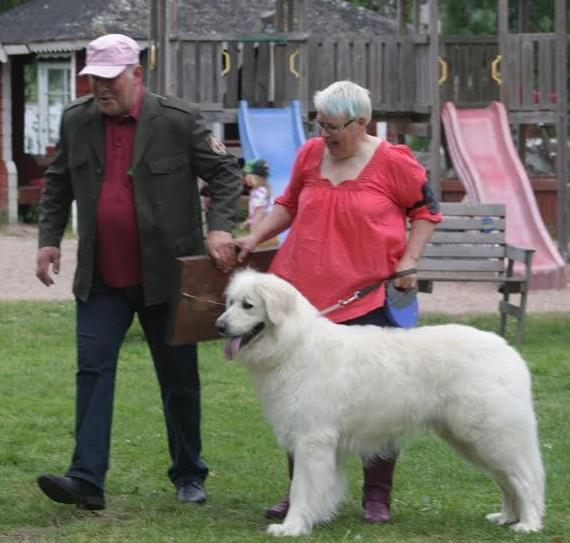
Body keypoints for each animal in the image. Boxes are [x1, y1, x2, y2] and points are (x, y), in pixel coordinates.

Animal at [215, 270, 544, 536]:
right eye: (230, 302)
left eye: (247, 305)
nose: (219, 326)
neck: (293, 344)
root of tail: (508, 350)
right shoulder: (321, 445)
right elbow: (321, 487)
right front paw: (315, 517)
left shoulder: (312, 440)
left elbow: (301, 488)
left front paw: (292, 527)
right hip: (472, 441)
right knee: (507, 482)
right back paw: (506, 517)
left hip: (491, 436)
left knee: (524, 480)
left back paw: (528, 524)